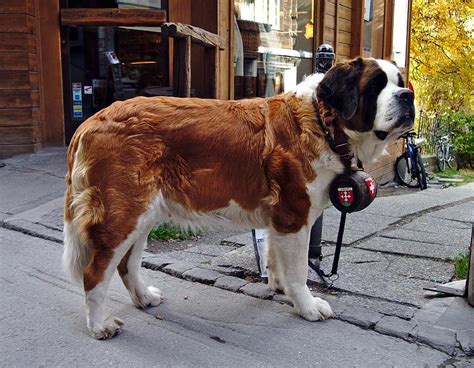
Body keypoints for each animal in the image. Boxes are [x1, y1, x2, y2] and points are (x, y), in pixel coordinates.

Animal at [64, 56, 414, 340]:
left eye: (399, 82)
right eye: (375, 86)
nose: (408, 96)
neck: (321, 121)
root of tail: (91, 120)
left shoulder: (280, 219)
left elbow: (275, 256)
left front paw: (278, 286)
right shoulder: (294, 216)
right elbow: (300, 270)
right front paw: (307, 306)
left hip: (142, 215)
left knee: (127, 264)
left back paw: (144, 297)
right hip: (123, 215)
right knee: (95, 272)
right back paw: (100, 325)